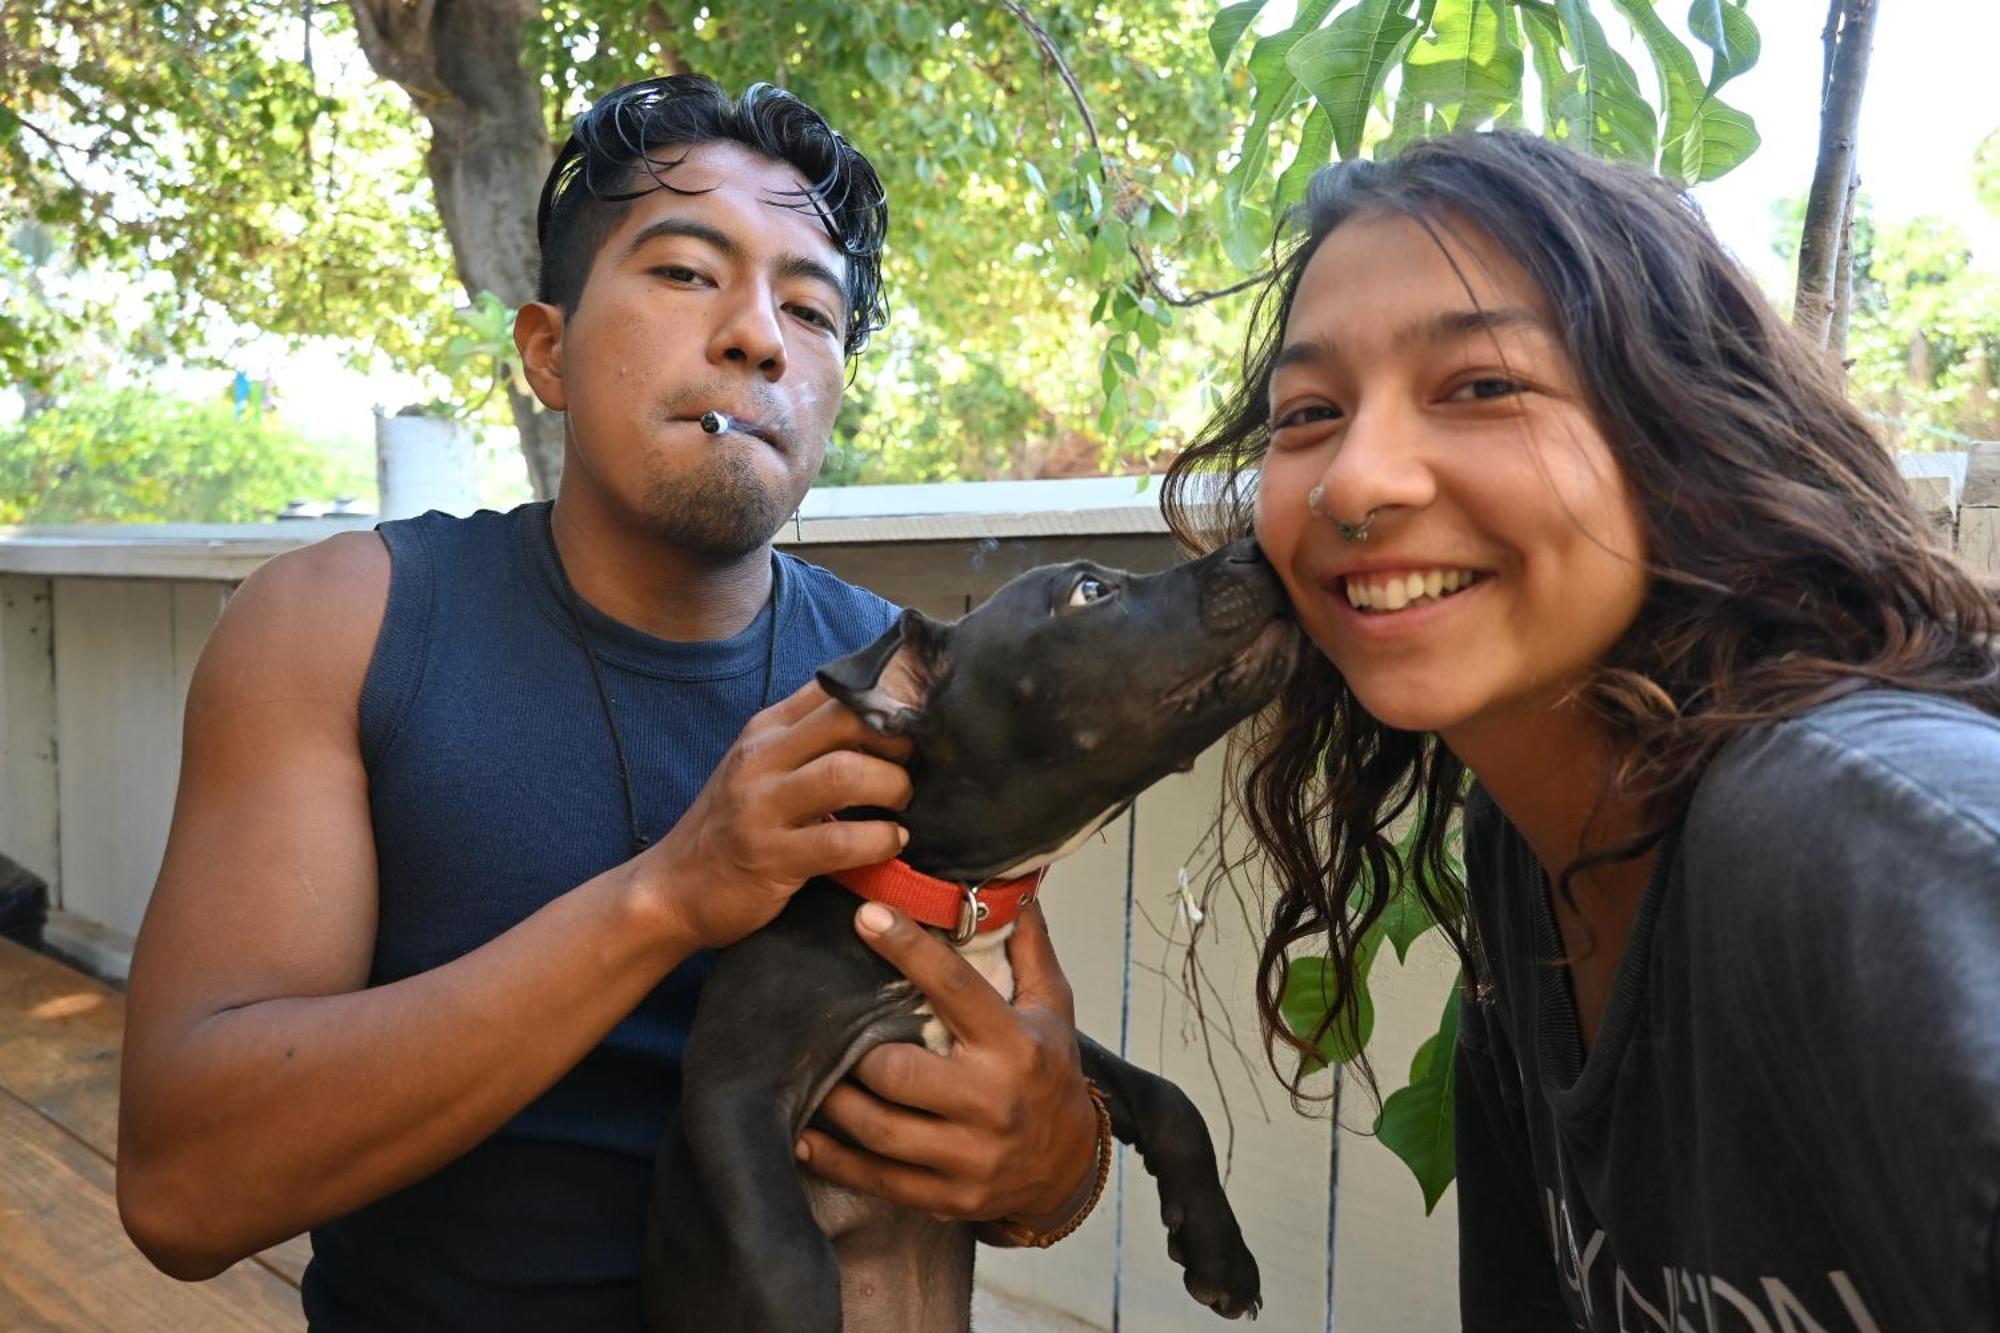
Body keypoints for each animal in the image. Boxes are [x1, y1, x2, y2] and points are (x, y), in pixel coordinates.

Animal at [644, 536, 1296, 1328]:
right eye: (1089, 591)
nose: (1255, 545)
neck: (952, 900)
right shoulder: (731, 1090)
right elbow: (787, 1256)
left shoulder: (1031, 1031)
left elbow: (1169, 1097)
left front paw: (1219, 1252)